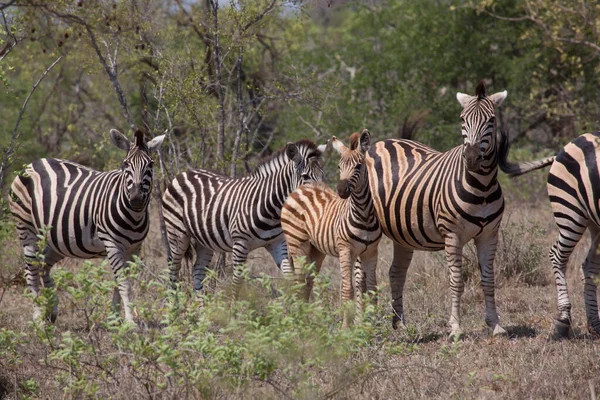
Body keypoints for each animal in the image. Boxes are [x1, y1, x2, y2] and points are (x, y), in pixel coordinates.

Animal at [7, 130, 166, 324]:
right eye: (125, 164)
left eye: (151, 164)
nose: (135, 199)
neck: (134, 216)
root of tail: (33, 163)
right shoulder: (112, 244)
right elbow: (124, 283)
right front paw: (130, 322)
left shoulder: (134, 248)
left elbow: (119, 281)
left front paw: (115, 318)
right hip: (25, 227)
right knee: (31, 270)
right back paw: (38, 318)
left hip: (58, 240)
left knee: (43, 264)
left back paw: (52, 311)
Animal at [162, 139, 326, 296]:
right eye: (305, 176)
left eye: (322, 175)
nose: (322, 200)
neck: (271, 209)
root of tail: (183, 173)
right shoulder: (240, 243)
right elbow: (237, 282)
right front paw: (234, 306)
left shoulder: (277, 243)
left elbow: (290, 277)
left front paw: (296, 304)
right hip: (177, 233)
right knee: (173, 270)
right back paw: (173, 303)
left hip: (204, 240)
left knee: (198, 270)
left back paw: (201, 305)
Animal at [280, 131, 380, 328]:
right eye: (340, 166)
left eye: (358, 166)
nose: (341, 190)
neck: (364, 215)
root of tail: (301, 188)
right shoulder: (346, 250)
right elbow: (347, 289)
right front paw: (346, 328)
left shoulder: (371, 252)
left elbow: (372, 290)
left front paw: (370, 327)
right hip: (297, 244)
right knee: (298, 280)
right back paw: (298, 320)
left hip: (316, 250)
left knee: (308, 282)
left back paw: (305, 320)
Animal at [368, 83, 556, 340]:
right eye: (462, 119)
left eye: (492, 120)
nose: (472, 158)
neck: (482, 186)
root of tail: (384, 141)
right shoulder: (453, 235)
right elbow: (457, 280)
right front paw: (455, 328)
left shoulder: (489, 235)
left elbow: (488, 279)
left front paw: (495, 324)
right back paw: (363, 321)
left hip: (403, 234)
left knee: (396, 273)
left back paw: (400, 324)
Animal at [548, 132, 600, 338]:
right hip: (570, 212)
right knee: (557, 256)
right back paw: (563, 320)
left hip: (594, 222)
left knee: (589, 267)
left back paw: (595, 324)